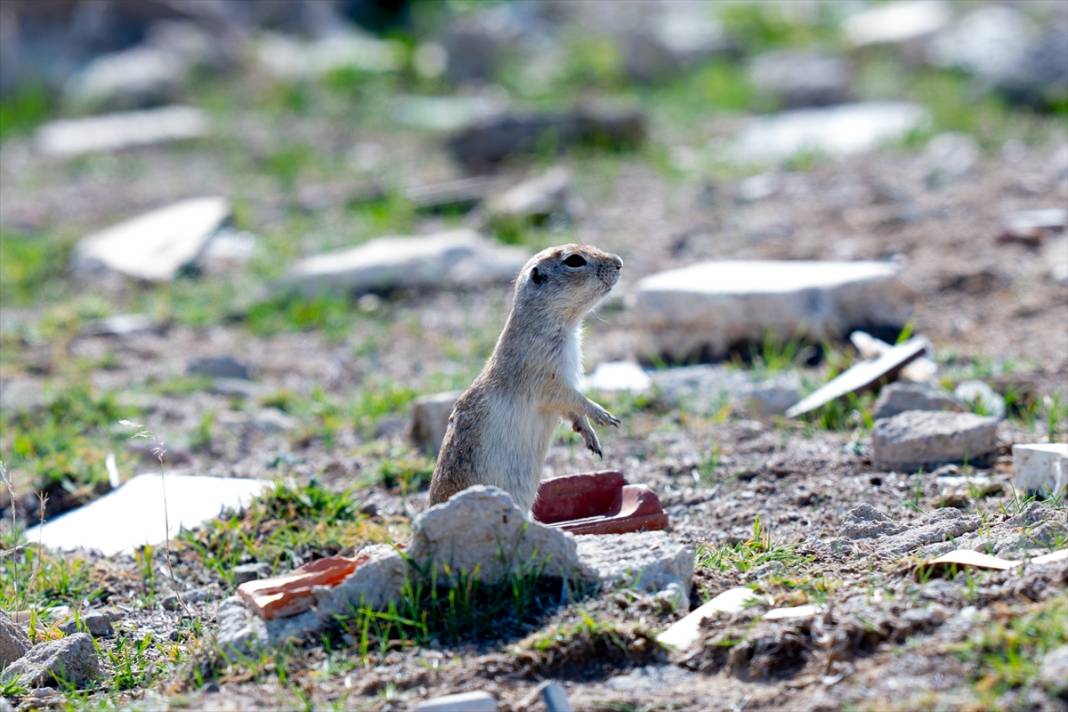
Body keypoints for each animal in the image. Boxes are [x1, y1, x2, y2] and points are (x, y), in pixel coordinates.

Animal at [427, 243, 623, 512]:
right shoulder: (545, 376)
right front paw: (604, 415)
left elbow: (572, 410)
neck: (564, 324)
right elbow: (572, 398)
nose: (619, 262)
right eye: (574, 261)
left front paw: (591, 438)